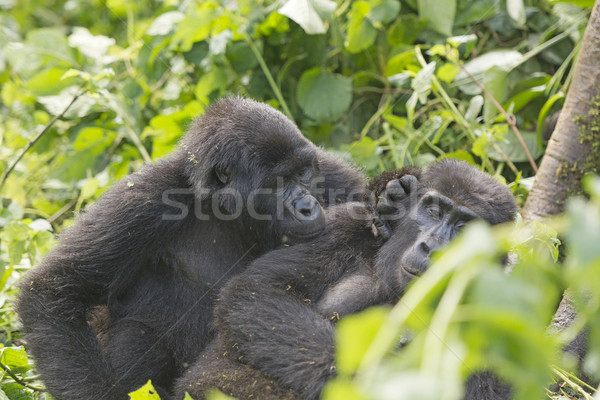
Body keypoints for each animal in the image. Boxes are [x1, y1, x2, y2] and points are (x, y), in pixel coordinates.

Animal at [16, 97, 366, 400]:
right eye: (277, 183)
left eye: (304, 172)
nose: (308, 206)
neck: (222, 207)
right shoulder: (142, 199)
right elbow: (55, 288)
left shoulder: (334, 177)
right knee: (135, 335)